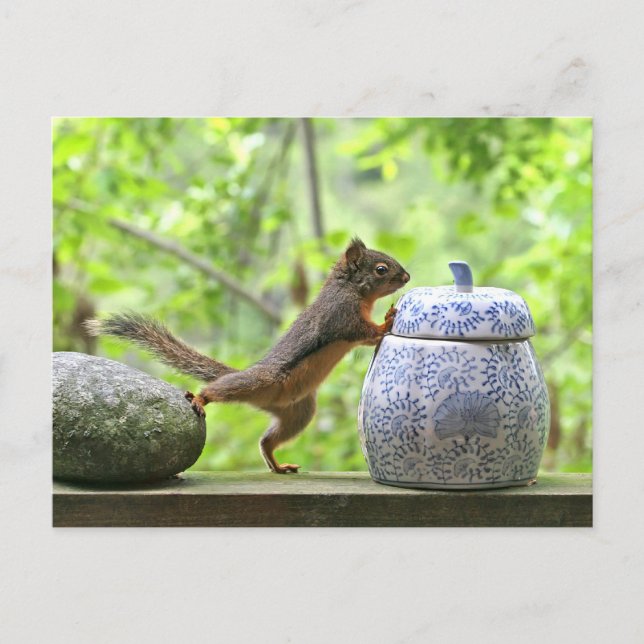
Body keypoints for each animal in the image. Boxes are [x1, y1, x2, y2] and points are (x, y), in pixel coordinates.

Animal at [85, 237, 410, 473]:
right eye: (381, 269)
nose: (407, 276)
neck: (351, 289)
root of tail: (267, 398)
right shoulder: (342, 315)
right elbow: (364, 332)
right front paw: (387, 320)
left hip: (299, 412)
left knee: (267, 440)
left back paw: (277, 464)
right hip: (258, 381)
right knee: (219, 389)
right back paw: (201, 399)